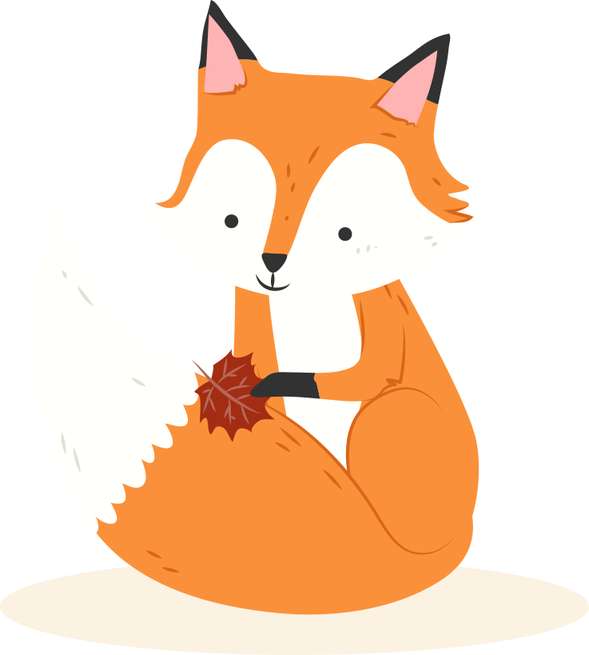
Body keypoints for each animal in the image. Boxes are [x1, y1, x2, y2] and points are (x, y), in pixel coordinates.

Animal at [97, 2, 478, 613]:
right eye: (233, 218)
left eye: (345, 230)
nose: (272, 262)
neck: (303, 300)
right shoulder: (251, 316)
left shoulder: (377, 322)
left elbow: (357, 374)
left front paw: (263, 388)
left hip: (397, 424)